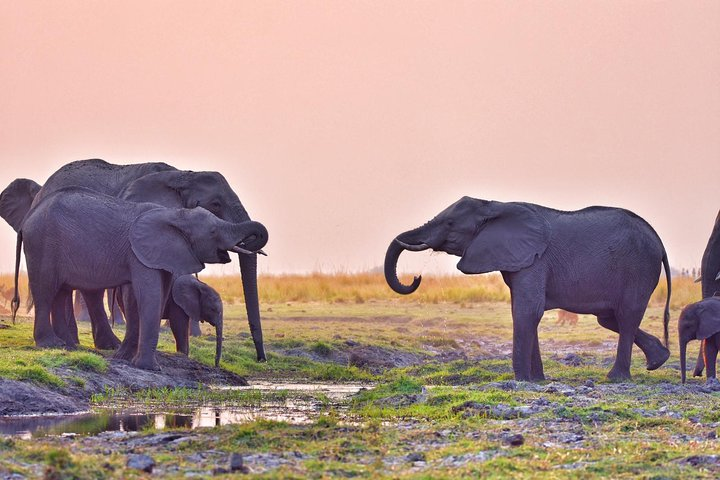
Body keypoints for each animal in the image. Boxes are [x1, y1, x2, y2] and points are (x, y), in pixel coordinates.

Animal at [0, 159, 270, 362]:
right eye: (215, 204)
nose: (261, 358)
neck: (181, 175)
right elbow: (135, 292)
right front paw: (131, 356)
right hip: (47, 244)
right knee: (53, 287)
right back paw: (64, 343)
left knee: (75, 289)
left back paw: (77, 344)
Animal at [386, 196, 672, 382]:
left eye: (450, 225)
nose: (416, 277)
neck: (494, 205)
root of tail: (659, 242)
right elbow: (526, 311)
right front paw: (537, 380)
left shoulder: (535, 260)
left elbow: (526, 311)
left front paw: (522, 380)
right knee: (611, 319)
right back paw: (658, 360)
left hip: (639, 269)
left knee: (626, 317)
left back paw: (616, 378)